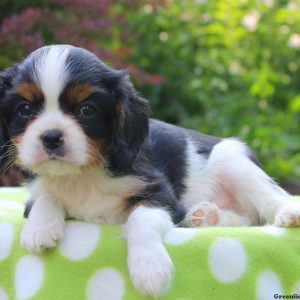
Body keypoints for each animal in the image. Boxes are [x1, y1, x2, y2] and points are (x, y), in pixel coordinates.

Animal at [0, 44, 298, 296]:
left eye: (87, 109)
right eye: (24, 109)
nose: (51, 137)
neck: (82, 174)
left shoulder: (160, 192)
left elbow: (139, 218)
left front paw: (150, 268)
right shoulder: (36, 192)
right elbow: (45, 197)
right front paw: (39, 229)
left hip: (234, 163)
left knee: (268, 202)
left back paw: (287, 212)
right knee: (249, 218)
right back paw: (206, 216)